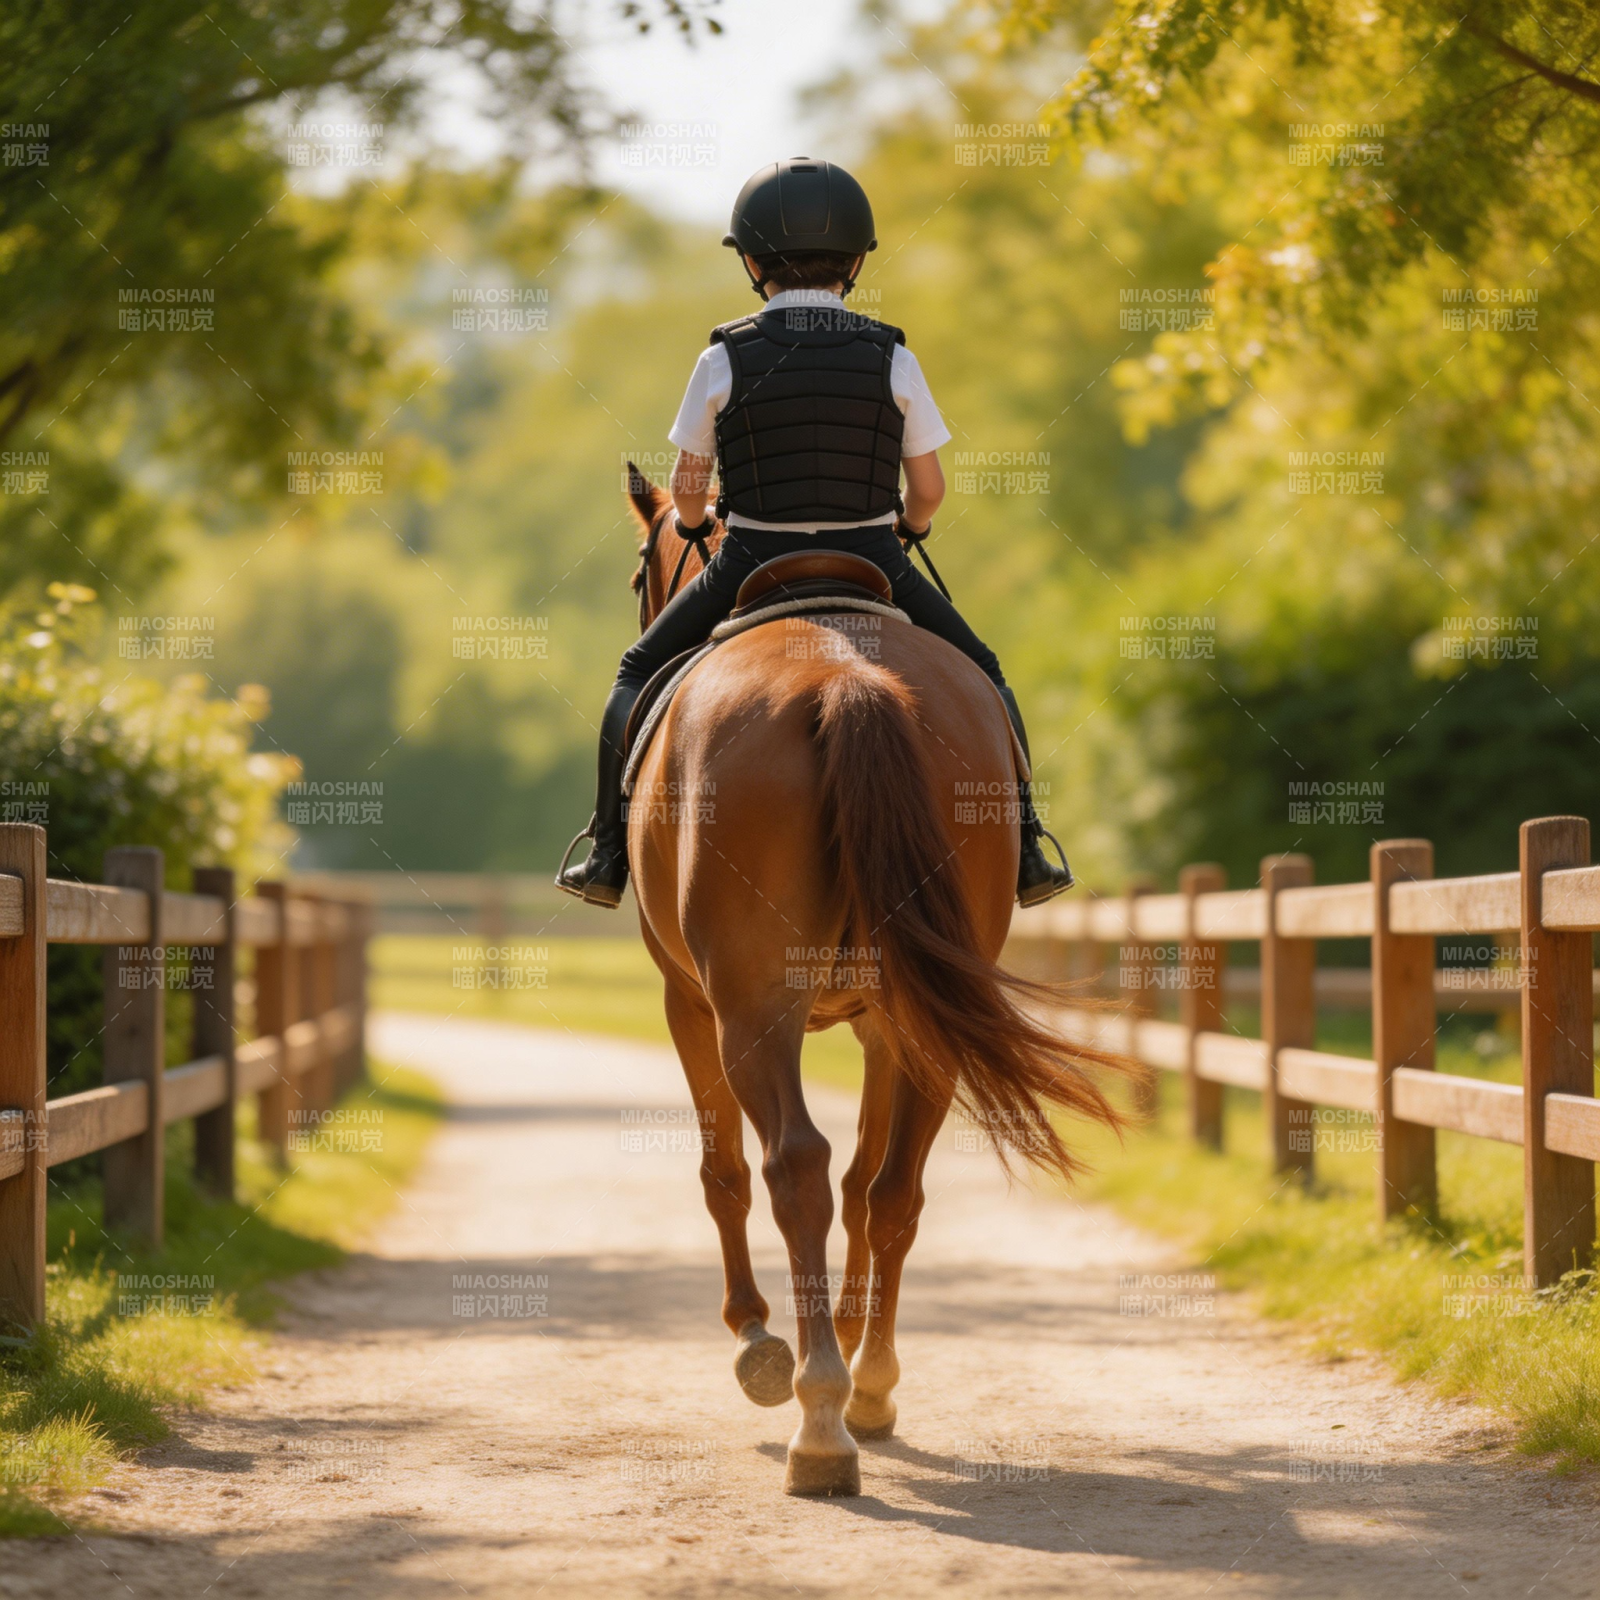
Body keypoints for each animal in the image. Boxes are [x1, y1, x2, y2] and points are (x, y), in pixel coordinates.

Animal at [621, 468, 1134, 1496]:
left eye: (638, 574)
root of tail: (844, 676)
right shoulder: (876, 1021)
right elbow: (868, 1181)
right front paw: (854, 1339)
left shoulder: (687, 1002)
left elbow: (725, 1172)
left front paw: (755, 1336)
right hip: (915, 1011)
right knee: (892, 1187)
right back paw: (868, 1387)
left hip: (752, 1012)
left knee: (793, 1168)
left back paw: (815, 1412)